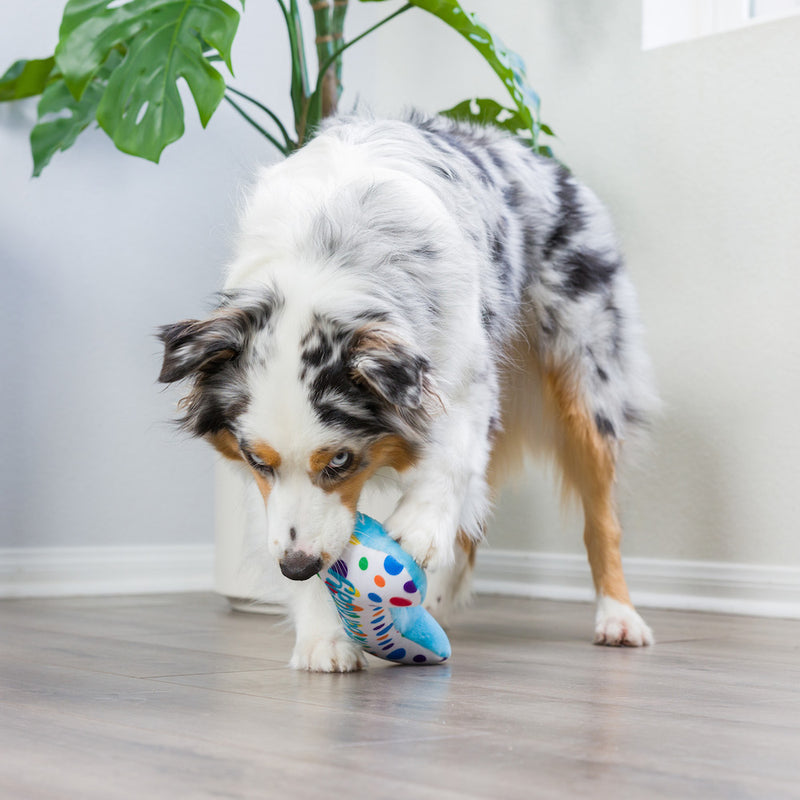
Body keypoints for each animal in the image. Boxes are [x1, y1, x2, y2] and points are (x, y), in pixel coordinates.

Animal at [156, 112, 656, 672]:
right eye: (258, 461)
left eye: (340, 461)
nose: (295, 568)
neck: (326, 262)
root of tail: (527, 149)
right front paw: (323, 638)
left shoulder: (464, 372)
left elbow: (452, 454)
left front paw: (419, 527)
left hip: (586, 381)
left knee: (601, 517)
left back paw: (619, 617)